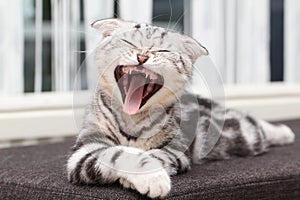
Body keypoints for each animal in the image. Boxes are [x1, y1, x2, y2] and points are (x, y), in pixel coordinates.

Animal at [66, 19, 296, 198]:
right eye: (128, 42)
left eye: (163, 50)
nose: (142, 57)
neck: (133, 121)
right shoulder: (84, 151)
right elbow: (119, 153)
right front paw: (150, 176)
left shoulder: (177, 151)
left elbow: (153, 155)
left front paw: (148, 177)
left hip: (244, 135)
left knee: (255, 123)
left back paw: (284, 132)